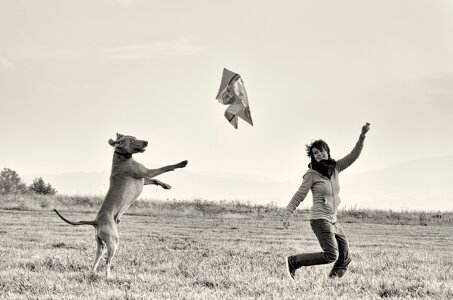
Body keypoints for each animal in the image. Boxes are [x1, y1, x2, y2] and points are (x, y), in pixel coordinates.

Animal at [53, 132, 187, 278]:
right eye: (133, 140)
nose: (146, 142)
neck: (121, 158)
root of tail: (96, 221)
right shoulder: (145, 173)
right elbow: (164, 167)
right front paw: (181, 163)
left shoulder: (143, 179)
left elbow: (155, 180)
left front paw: (165, 185)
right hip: (113, 241)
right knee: (107, 262)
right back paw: (108, 277)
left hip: (101, 245)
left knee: (96, 260)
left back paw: (93, 273)